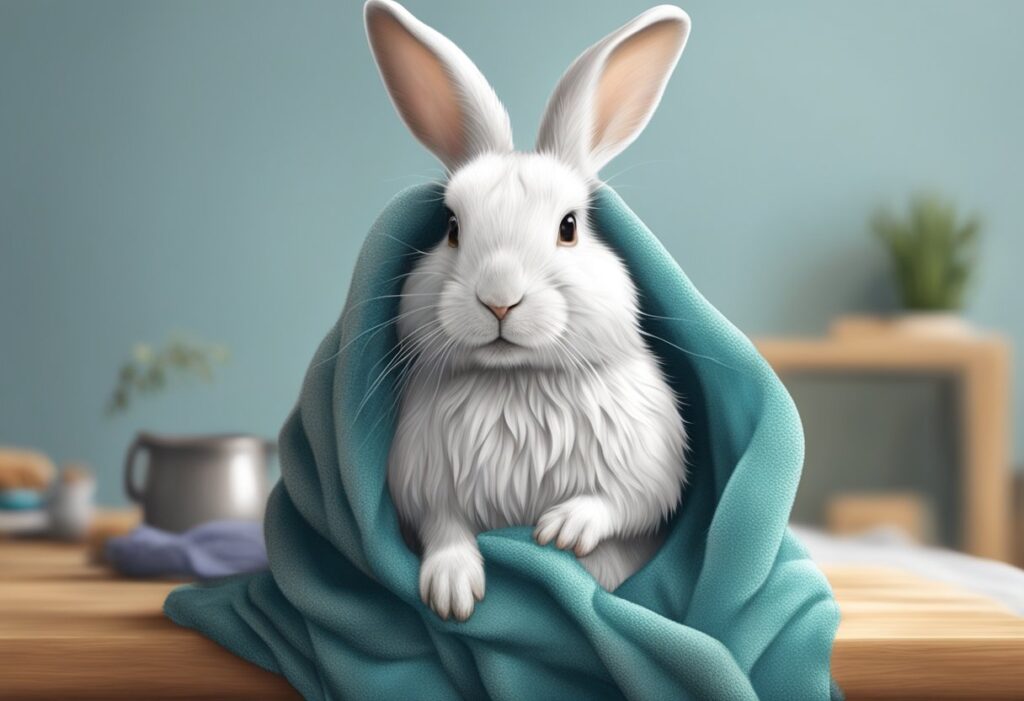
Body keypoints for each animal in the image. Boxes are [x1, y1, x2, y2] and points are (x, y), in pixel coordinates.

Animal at [365, 0, 690, 621]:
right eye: (451, 228)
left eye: (569, 227)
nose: (499, 298)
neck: (515, 381)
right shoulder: (424, 482)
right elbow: (444, 527)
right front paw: (452, 593)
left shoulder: (650, 462)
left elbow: (624, 501)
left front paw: (562, 531)